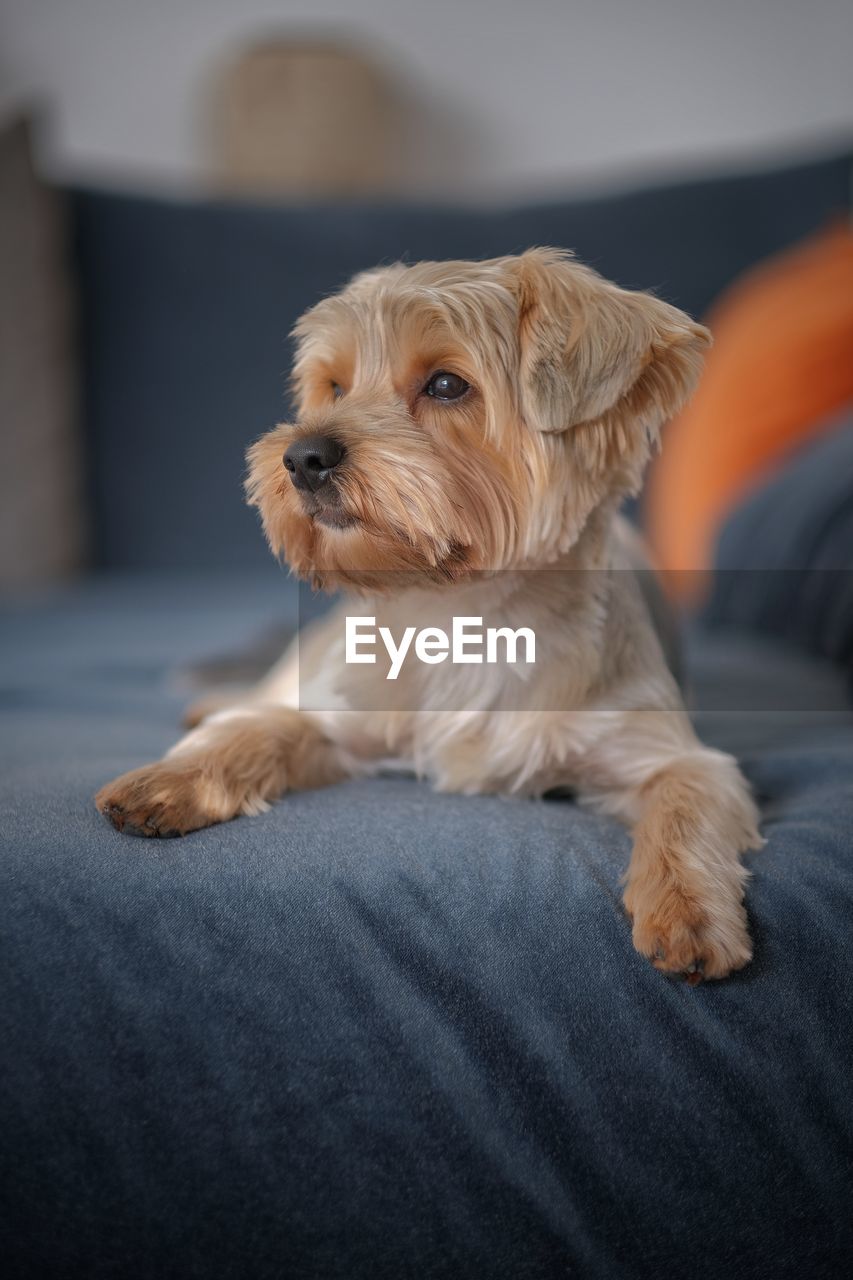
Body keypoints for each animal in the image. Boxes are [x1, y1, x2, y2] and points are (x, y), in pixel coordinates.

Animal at [96, 252, 758, 988]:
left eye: (445, 385)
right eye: (333, 386)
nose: (301, 457)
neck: (463, 612)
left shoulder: (661, 747)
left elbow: (687, 799)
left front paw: (687, 912)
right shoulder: (342, 713)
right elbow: (259, 731)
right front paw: (168, 779)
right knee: (262, 692)